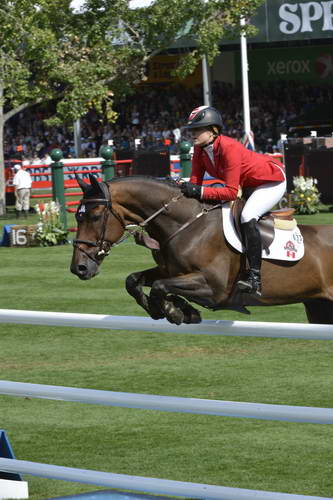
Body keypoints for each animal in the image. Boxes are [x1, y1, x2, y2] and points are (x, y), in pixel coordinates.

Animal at [68, 174, 332, 326]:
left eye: (94, 216)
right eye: (77, 216)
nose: (79, 268)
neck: (187, 225)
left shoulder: (214, 288)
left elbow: (160, 287)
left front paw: (175, 311)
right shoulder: (169, 270)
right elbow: (134, 280)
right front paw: (172, 309)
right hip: (318, 306)